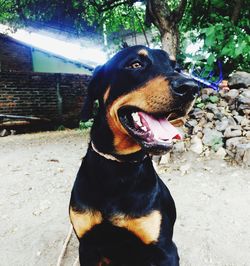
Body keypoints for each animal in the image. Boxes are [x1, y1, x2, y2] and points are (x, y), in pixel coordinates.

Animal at [69, 44, 198, 264]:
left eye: (176, 67)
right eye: (136, 64)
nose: (191, 87)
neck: (118, 166)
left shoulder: (165, 249)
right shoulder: (87, 247)